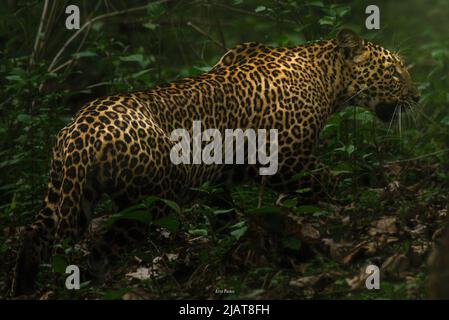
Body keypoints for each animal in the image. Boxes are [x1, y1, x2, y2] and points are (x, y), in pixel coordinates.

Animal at [7, 28, 420, 296]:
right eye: (394, 71)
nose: (417, 96)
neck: (327, 78)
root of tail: (79, 132)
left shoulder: (228, 169)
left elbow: (224, 211)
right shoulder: (287, 159)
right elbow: (326, 183)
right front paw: (352, 204)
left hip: (65, 193)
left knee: (34, 235)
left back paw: (23, 285)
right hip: (150, 202)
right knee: (99, 251)